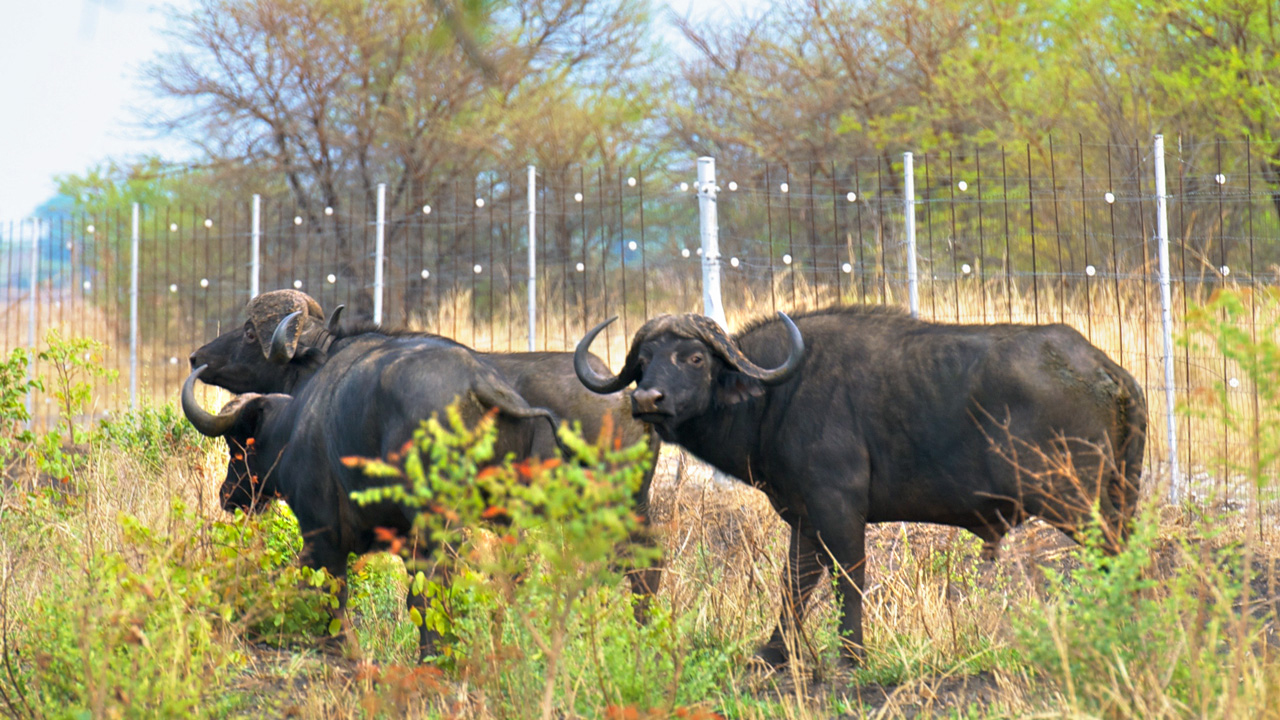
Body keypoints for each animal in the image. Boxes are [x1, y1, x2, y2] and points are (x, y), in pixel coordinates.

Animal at [181, 333, 562, 659]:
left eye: (237, 444)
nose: (228, 494)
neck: (294, 429)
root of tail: (478, 383)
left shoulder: (322, 534)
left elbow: (329, 592)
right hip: (507, 516)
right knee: (509, 574)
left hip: (438, 523)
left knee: (438, 583)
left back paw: (434, 655)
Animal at [573, 305, 1147, 668]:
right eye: (642, 362)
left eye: (693, 358)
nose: (647, 400)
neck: (777, 394)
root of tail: (1107, 372)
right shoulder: (803, 517)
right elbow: (795, 582)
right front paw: (773, 653)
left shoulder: (838, 507)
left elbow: (848, 577)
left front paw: (853, 654)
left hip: (1079, 504)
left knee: (1115, 558)